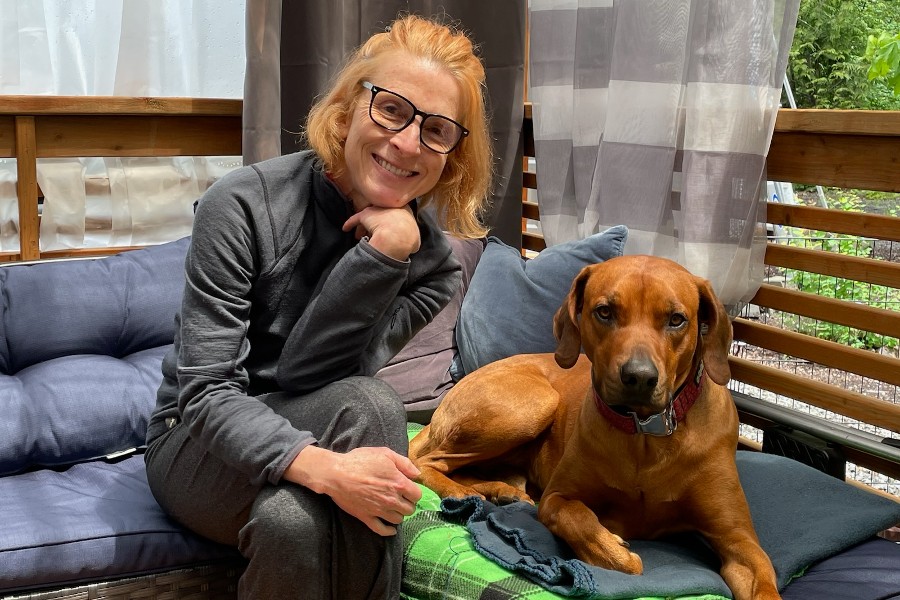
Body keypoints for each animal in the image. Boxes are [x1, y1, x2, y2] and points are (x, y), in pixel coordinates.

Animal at [408, 254, 780, 600]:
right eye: (604, 312)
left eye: (677, 320)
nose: (639, 377)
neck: (646, 433)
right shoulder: (556, 497)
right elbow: (581, 519)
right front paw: (614, 550)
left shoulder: (738, 538)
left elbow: (761, 575)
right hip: (534, 403)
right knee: (427, 461)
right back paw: (460, 493)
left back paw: (499, 490)